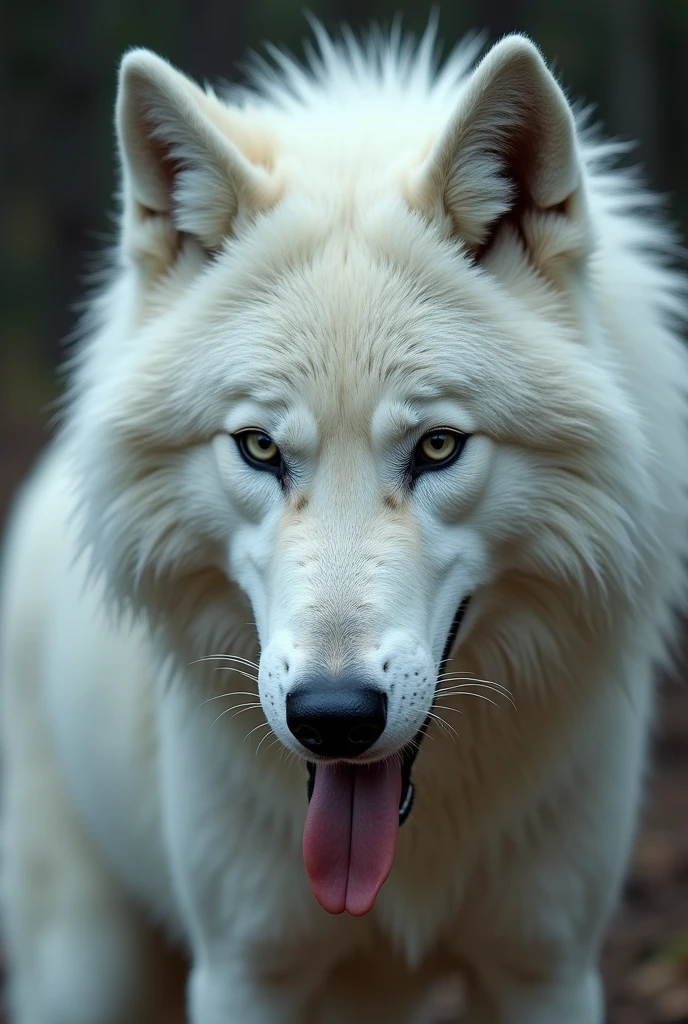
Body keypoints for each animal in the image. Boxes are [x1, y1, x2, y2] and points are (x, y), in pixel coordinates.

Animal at [1, 23, 687, 1024]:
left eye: (438, 446)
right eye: (258, 447)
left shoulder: (545, 967)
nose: (331, 719)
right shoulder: (245, 972)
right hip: (86, 969)